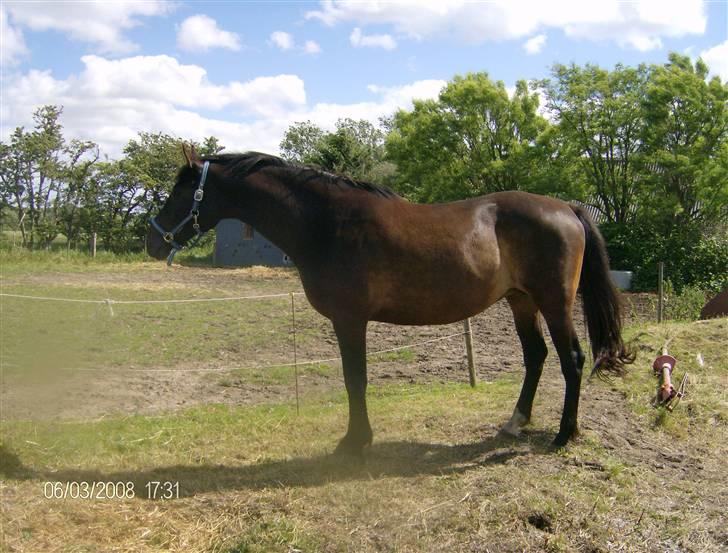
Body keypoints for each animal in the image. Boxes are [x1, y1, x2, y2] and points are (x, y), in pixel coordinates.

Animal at [146, 144, 632, 454]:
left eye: (182, 190)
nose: (152, 240)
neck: (327, 223)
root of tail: (567, 208)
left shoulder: (349, 319)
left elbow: (354, 380)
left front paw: (354, 442)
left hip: (554, 303)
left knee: (572, 359)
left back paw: (564, 435)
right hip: (521, 302)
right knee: (536, 357)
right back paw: (515, 423)